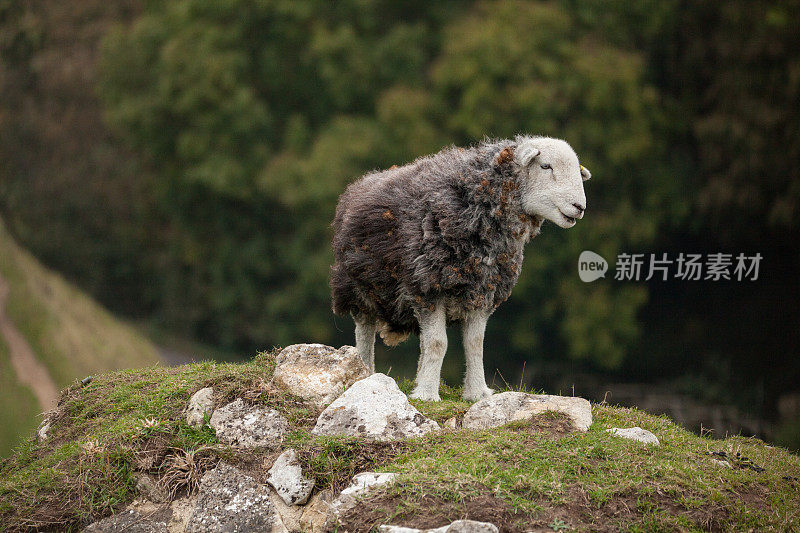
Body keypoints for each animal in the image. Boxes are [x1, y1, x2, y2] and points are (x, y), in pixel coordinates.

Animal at [328, 135, 592, 402]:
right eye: (545, 166)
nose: (579, 207)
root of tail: (362, 181)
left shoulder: (483, 291)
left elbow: (474, 343)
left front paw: (476, 392)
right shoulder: (428, 286)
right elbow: (438, 343)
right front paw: (427, 394)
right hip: (357, 289)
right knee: (365, 332)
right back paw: (366, 372)